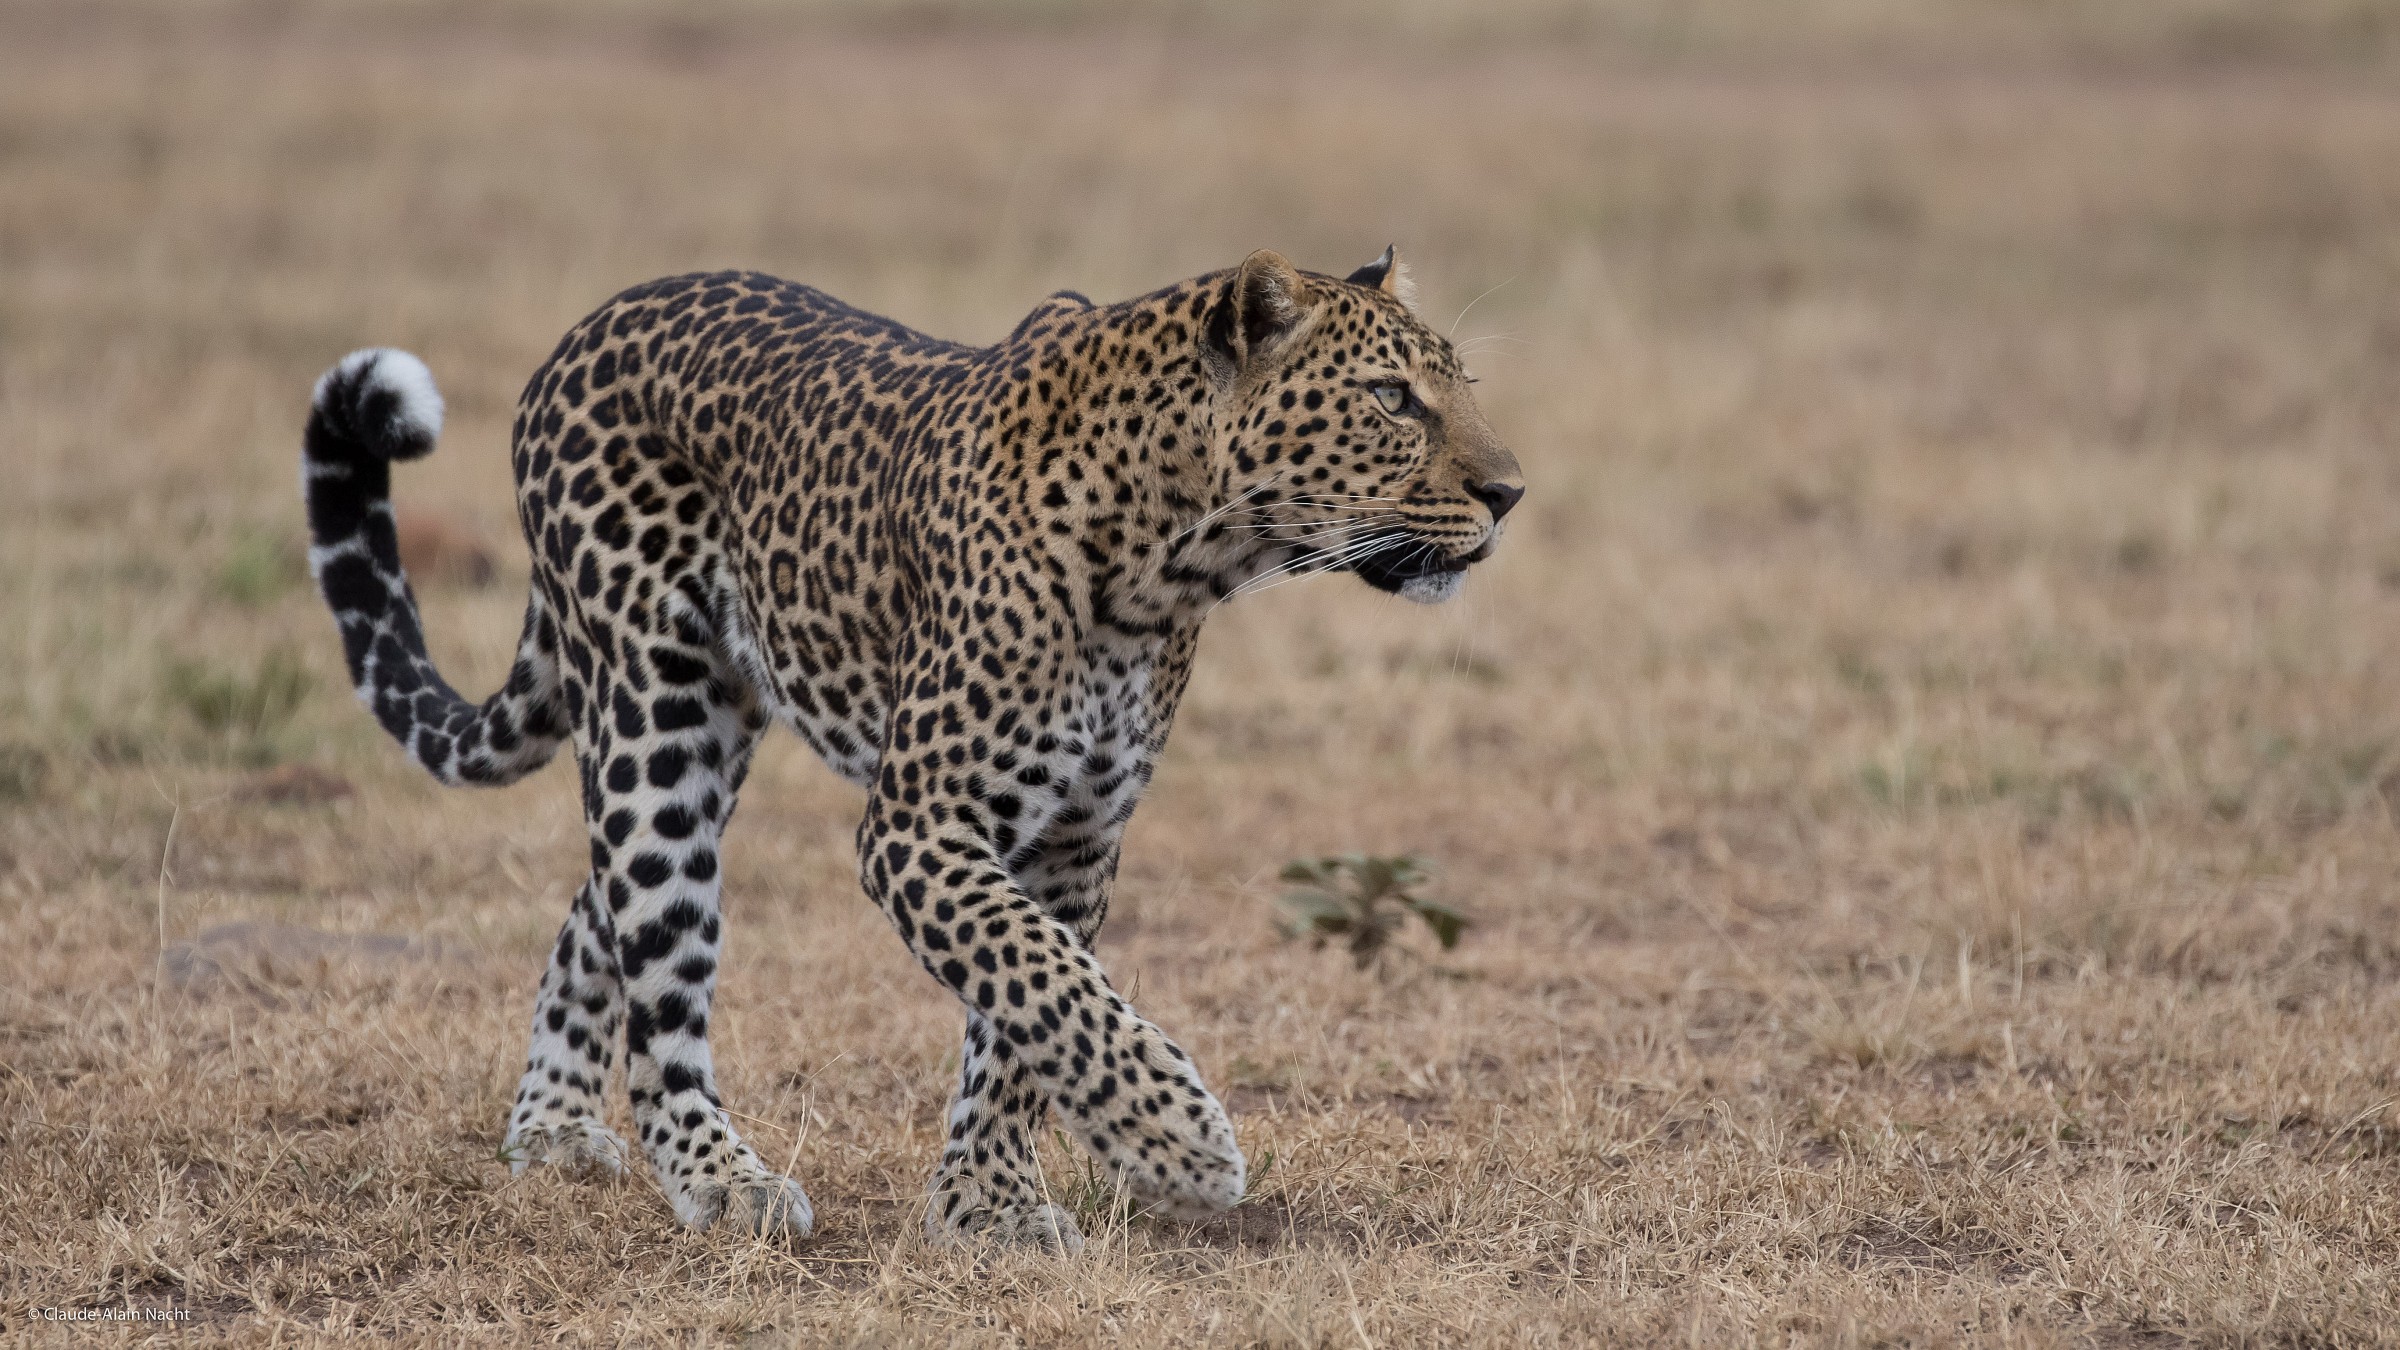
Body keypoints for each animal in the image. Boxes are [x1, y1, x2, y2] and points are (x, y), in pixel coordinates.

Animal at [300, 245, 1524, 1254]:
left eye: (1460, 385)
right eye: (1390, 398)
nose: (1509, 492)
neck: (1174, 558)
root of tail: (589, 326)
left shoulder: (1076, 835)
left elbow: (1023, 1017)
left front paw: (990, 1203)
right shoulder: (920, 824)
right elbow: (1044, 980)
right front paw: (1178, 1143)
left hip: (713, 726)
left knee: (594, 914)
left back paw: (552, 1125)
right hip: (654, 716)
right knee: (659, 968)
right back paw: (721, 1179)